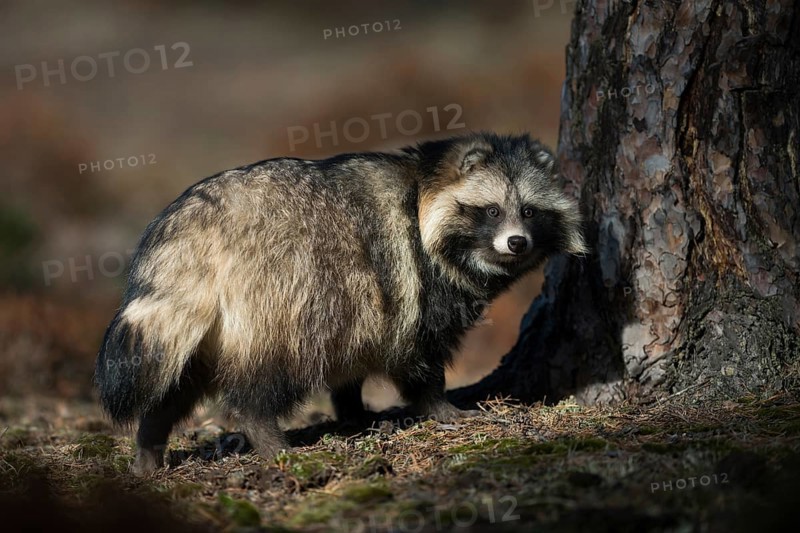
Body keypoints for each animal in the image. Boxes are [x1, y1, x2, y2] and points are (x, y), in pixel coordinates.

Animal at [95, 132, 587, 473]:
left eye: (529, 211)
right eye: (491, 210)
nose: (517, 243)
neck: (423, 182)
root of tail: (194, 224)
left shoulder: (365, 304)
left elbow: (352, 357)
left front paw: (353, 410)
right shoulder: (413, 281)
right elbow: (417, 353)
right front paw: (439, 405)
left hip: (205, 320)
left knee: (177, 379)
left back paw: (150, 441)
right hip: (278, 291)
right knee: (267, 376)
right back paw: (265, 433)